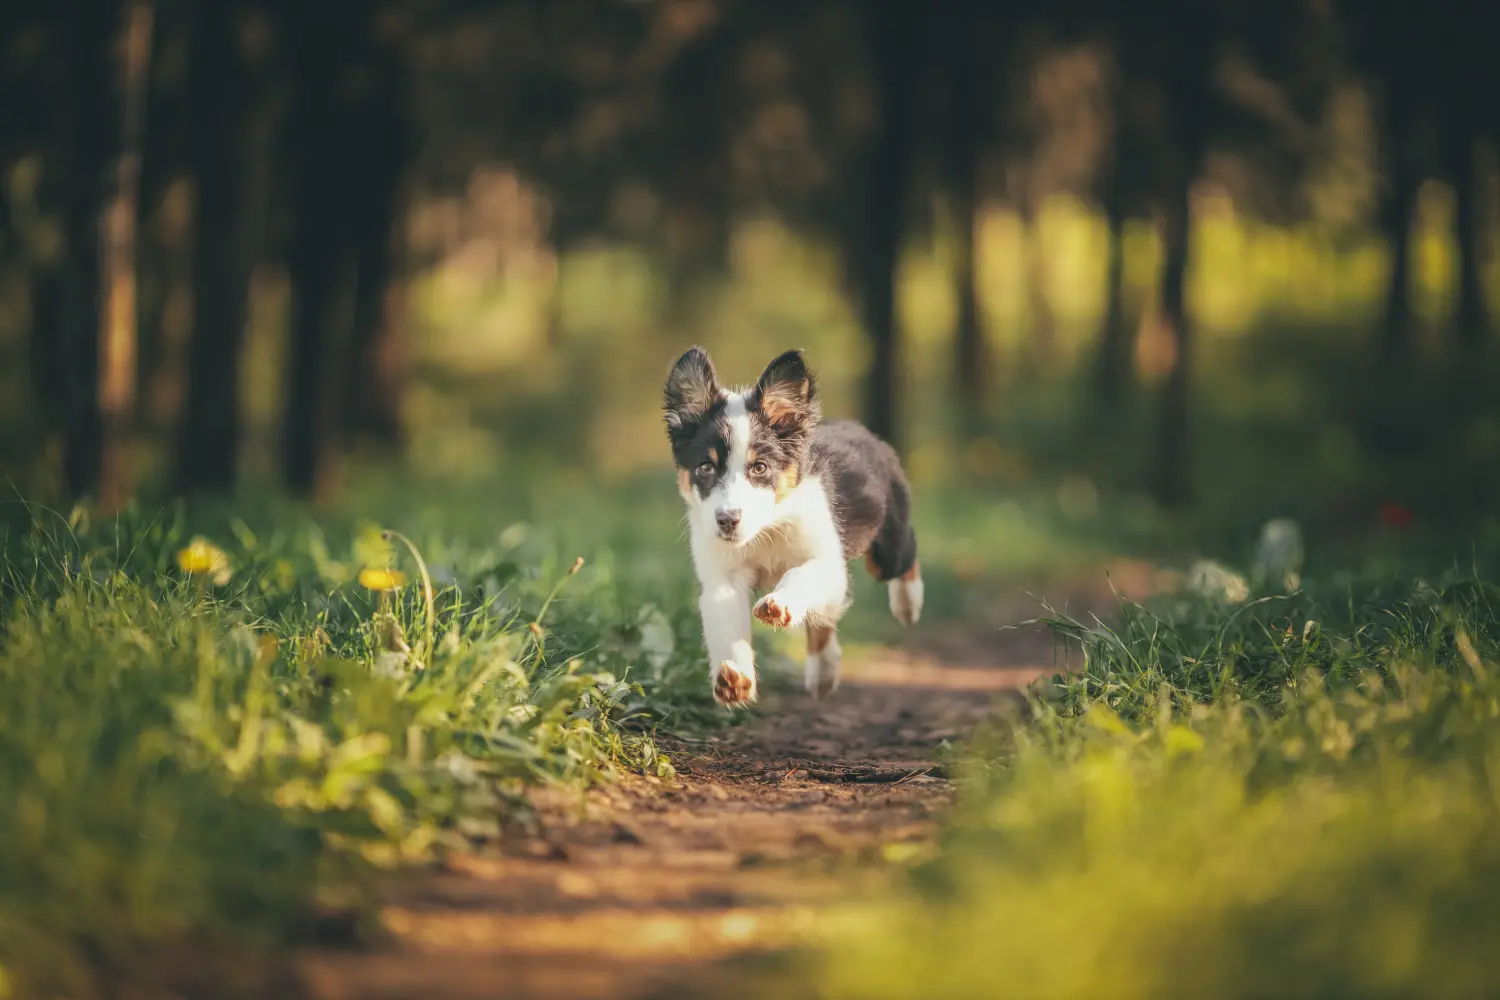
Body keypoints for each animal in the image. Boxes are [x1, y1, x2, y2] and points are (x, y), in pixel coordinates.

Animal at [663, 347, 918, 707]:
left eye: (759, 468)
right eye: (705, 467)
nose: (727, 521)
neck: (765, 529)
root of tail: (863, 429)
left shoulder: (828, 561)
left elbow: (800, 574)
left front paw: (779, 604)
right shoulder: (722, 582)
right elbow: (726, 627)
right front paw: (734, 679)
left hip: (887, 548)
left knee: (904, 555)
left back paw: (908, 603)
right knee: (823, 618)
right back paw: (823, 672)